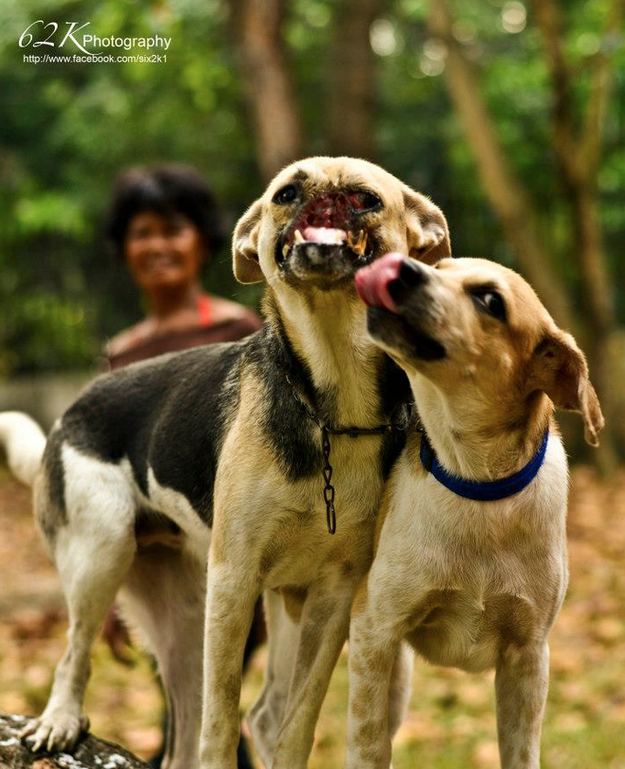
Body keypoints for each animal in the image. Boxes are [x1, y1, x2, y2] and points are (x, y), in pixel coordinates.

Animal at [0, 156, 448, 768]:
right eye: (285, 193)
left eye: (365, 197)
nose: (321, 198)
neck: (329, 405)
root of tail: (70, 410)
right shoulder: (235, 579)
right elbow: (222, 718)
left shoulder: (332, 596)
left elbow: (297, 720)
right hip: (106, 555)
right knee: (76, 653)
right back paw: (60, 720)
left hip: (202, 614)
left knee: (216, 729)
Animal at [348, 256, 604, 768]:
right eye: (440, 265)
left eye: (489, 299)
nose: (401, 266)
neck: (478, 489)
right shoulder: (374, 629)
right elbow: (368, 745)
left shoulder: (528, 657)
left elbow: (522, 752)